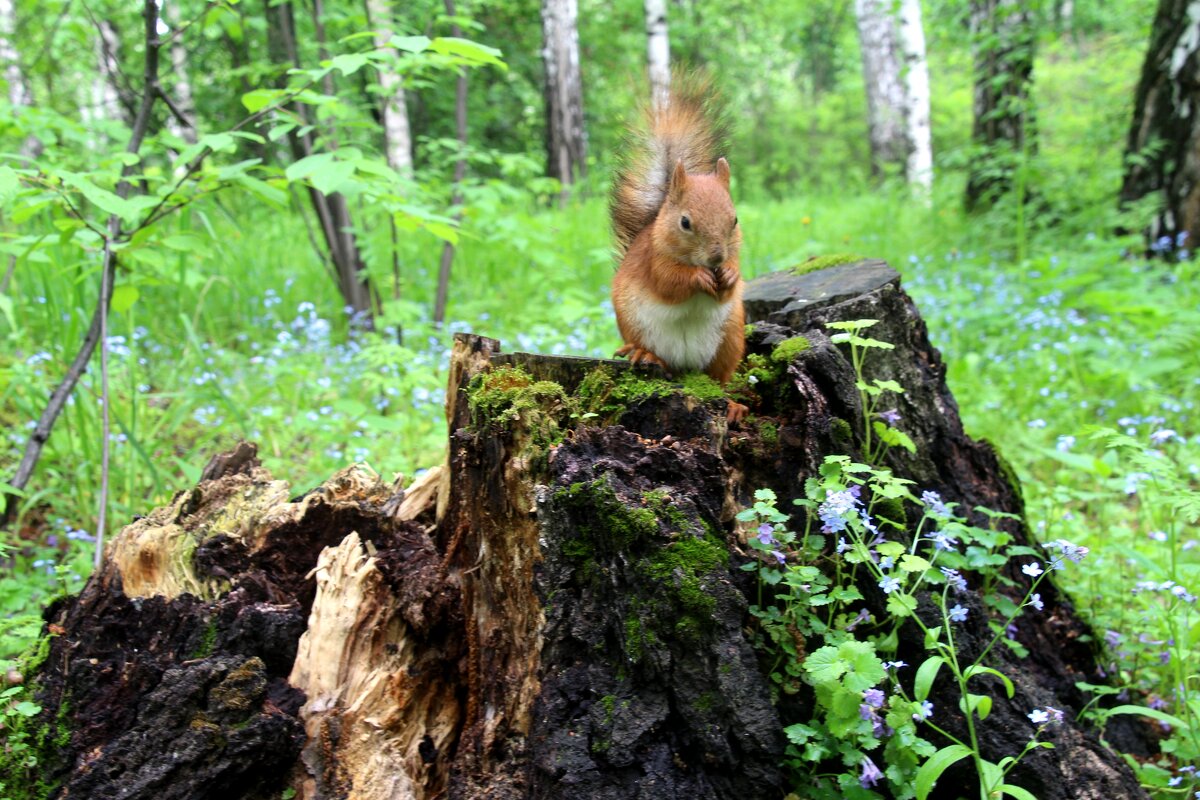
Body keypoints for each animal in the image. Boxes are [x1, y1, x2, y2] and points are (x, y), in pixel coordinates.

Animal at [614, 77, 744, 422]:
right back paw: (645, 353)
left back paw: (734, 406)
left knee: (720, 379)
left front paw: (728, 275)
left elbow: (731, 285)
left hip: (730, 340)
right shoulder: (653, 262)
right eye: (685, 222)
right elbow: (669, 283)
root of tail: (686, 367)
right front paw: (698, 278)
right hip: (633, 324)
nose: (717, 257)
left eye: (735, 219)